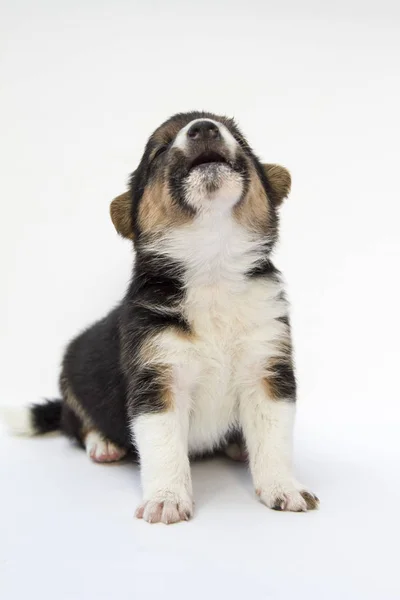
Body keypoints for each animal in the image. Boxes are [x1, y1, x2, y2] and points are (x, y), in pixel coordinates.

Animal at [1, 112, 318, 524]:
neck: (211, 267)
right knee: (77, 425)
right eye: (160, 149)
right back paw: (103, 444)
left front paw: (284, 488)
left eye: (240, 138)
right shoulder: (157, 384)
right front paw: (167, 499)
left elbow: (274, 441)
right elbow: (164, 448)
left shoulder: (267, 370)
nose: (204, 127)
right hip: (72, 376)